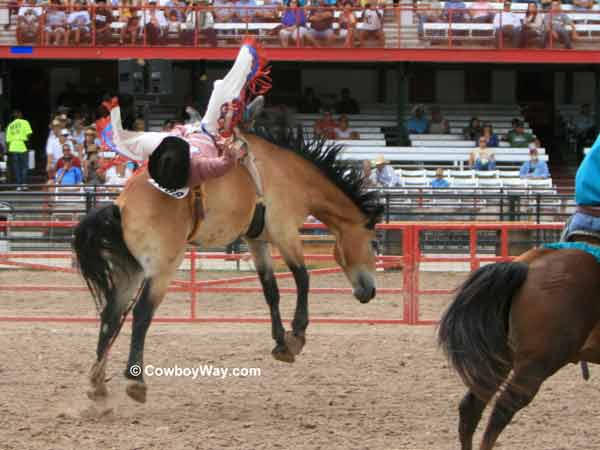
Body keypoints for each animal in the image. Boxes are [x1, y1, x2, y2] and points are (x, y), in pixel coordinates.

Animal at [72, 129, 382, 404]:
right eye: (374, 242)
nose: (370, 292)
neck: (290, 174)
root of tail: (120, 206)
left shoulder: (257, 240)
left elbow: (271, 291)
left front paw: (282, 343)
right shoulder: (285, 232)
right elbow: (302, 278)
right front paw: (297, 334)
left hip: (131, 269)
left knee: (111, 315)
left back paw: (97, 386)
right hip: (162, 267)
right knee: (141, 313)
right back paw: (136, 381)